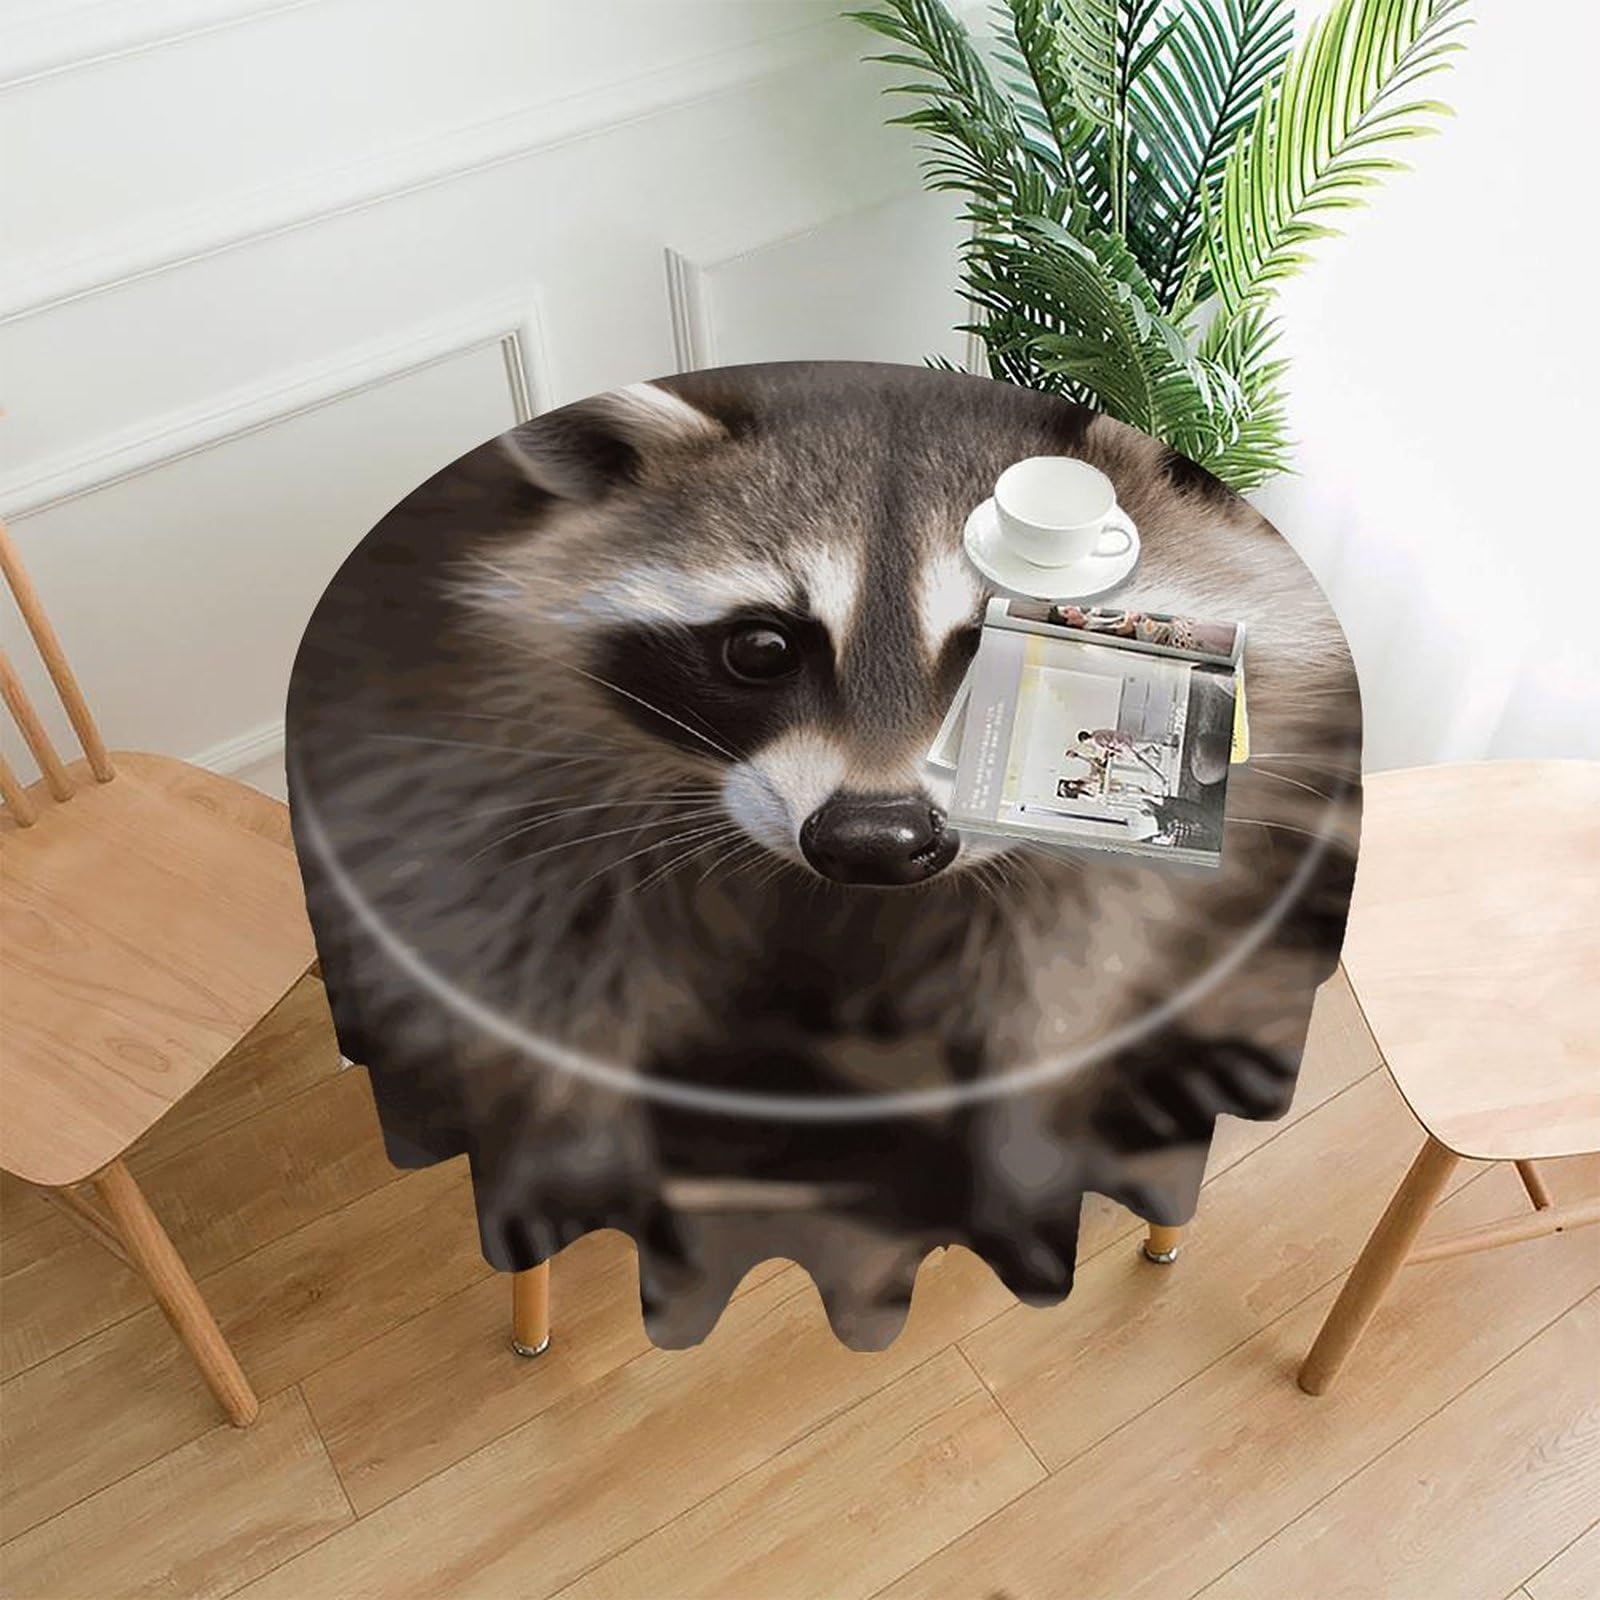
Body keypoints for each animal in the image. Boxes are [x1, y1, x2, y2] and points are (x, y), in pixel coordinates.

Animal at [287, 360, 1361, 1350]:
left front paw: (1023, 1136)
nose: (875, 842)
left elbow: (1063, 955)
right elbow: (530, 944)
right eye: (761, 649)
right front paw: (581, 1137)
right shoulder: (473, 742)